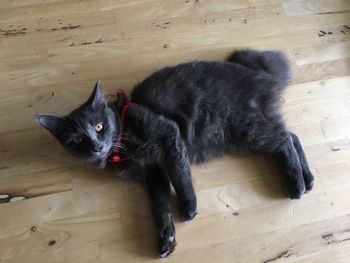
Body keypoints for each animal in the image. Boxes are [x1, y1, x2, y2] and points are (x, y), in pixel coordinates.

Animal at [36, 49, 314, 258]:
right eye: (78, 140)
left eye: (98, 126)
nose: (96, 146)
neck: (123, 141)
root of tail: (257, 71)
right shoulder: (153, 175)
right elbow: (159, 206)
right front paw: (166, 239)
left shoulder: (169, 137)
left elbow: (180, 177)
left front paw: (189, 207)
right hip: (247, 133)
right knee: (291, 135)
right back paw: (308, 179)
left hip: (245, 129)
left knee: (284, 141)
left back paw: (296, 183)